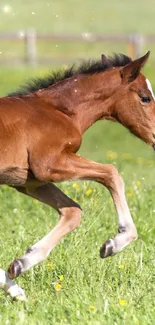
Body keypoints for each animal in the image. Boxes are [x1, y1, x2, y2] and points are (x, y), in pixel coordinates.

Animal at [0, 51, 155, 298]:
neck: (59, 111)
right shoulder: (49, 164)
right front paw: (116, 242)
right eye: (145, 98)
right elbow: (112, 173)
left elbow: (73, 212)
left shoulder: (30, 181)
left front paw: (21, 265)